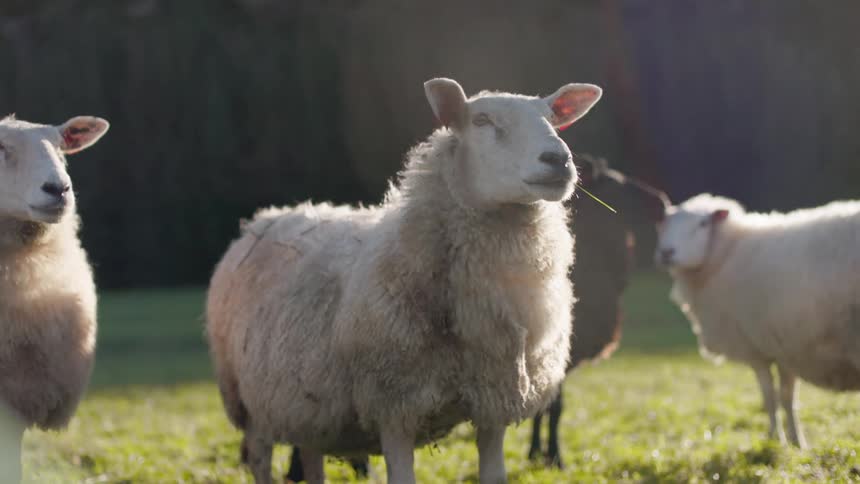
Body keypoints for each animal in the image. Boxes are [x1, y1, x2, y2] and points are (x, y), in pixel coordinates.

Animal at [206, 77, 602, 483]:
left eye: (552, 119)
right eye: (481, 120)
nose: (558, 159)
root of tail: (267, 217)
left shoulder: (492, 402)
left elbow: (493, 474)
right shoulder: (393, 407)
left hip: (308, 405)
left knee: (312, 458)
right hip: (250, 402)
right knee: (261, 460)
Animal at [527, 154, 669, 468]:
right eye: (618, 183)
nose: (663, 201)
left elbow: (543, 406)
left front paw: (535, 453)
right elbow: (555, 407)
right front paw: (554, 457)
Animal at [655, 193, 860, 448]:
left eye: (702, 224)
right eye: (665, 223)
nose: (666, 253)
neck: (728, 252)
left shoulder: (756, 348)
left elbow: (769, 397)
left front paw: (775, 439)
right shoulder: (786, 346)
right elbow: (787, 397)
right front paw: (796, 442)